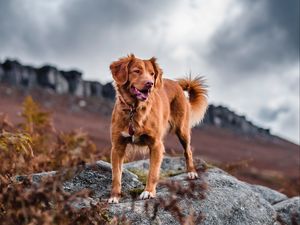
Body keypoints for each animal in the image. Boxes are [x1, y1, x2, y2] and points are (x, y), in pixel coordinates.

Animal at [108, 53, 209, 203]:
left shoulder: (156, 145)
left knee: (188, 151)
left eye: (152, 74)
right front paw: (114, 196)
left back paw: (191, 172)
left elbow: (153, 172)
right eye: (136, 71)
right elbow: (116, 175)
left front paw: (148, 192)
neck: (134, 109)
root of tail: (177, 84)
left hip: (182, 130)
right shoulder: (117, 146)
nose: (150, 83)